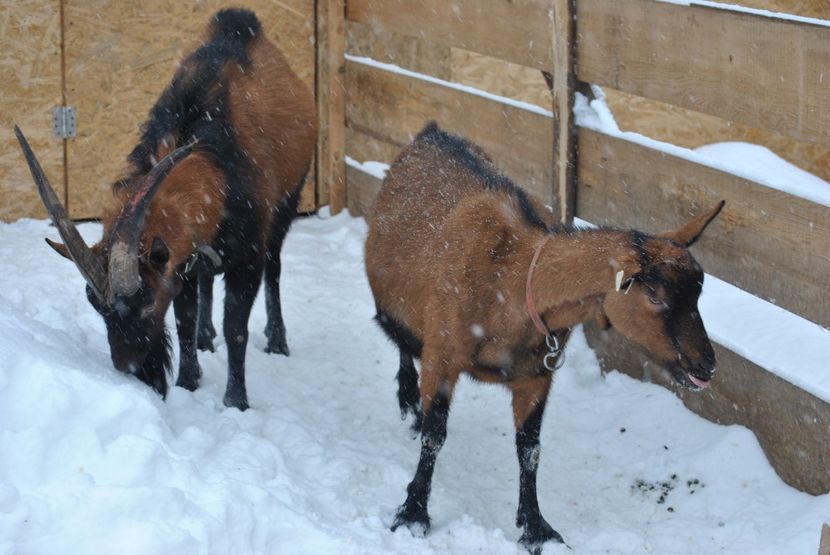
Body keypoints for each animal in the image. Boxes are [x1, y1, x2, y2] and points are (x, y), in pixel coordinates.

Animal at [17, 6, 316, 410]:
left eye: (145, 301)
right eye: (96, 305)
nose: (129, 368)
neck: (212, 156)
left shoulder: (247, 256)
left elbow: (236, 328)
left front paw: (236, 401)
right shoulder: (181, 262)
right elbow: (184, 320)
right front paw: (189, 380)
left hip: (288, 203)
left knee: (276, 266)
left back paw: (276, 340)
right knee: (208, 281)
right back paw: (206, 336)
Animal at [368, 121, 724, 552]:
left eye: (699, 294)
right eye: (655, 296)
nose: (705, 366)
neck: (512, 280)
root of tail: (431, 131)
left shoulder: (536, 376)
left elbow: (530, 450)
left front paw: (535, 527)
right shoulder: (443, 355)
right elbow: (436, 436)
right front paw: (413, 514)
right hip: (397, 307)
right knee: (404, 345)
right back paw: (409, 402)